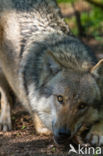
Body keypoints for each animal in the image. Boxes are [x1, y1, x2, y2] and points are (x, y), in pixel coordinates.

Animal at [0, 0, 103, 146]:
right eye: (60, 98)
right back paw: (5, 121)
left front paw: (97, 133)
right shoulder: (41, 122)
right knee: (5, 96)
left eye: (82, 105)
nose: (63, 133)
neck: (70, 58)